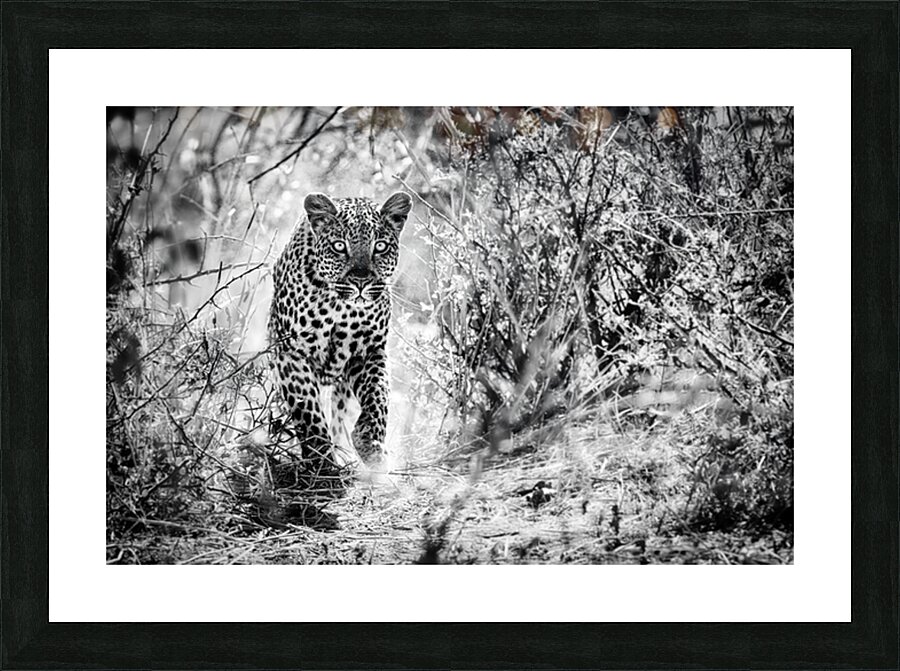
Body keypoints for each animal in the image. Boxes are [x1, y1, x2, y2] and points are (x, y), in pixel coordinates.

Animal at [267, 191, 412, 472]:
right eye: (339, 246)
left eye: (380, 247)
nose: (361, 281)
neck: (339, 307)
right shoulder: (291, 354)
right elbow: (308, 413)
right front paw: (322, 465)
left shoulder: (369, 351)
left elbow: (378, 398)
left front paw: (370, 445)